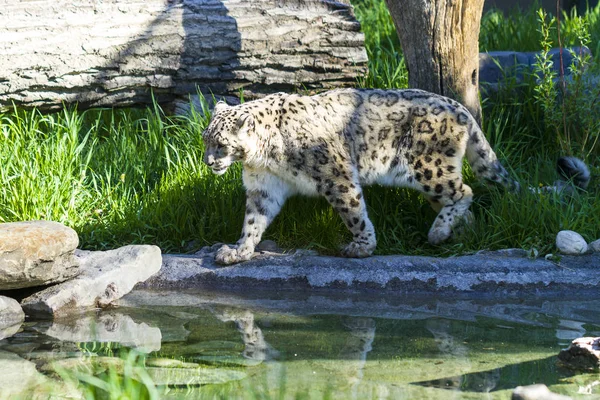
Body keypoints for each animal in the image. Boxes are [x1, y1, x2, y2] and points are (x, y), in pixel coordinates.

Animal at [203, 90, 592, 266]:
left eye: (220, 144)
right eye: (205, 139)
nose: (208, 163)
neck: (264, 159)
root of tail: (460, 109)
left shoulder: (336, 175)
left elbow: (353, 210)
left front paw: (362, 246)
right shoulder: (263, 188)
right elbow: (254, 220)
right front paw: (238, 250)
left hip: (426, 166)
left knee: (464, 190)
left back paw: (438, 232)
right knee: (460, 201)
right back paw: (458, 234)